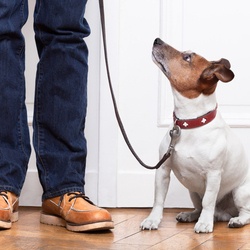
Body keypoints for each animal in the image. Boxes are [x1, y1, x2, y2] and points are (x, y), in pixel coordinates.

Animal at [141, 38, 250, 233]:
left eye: (187, 57)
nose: (157, 40)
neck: (190, 123)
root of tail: (223, 214)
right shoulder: (163, 170)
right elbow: (158, 199)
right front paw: (153, 220)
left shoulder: (213, 175)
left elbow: (208, 201)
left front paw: (205, 223)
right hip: (193, 191)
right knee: (198, 207)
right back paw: (190, 215)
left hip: (240, 192)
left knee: (244, 212)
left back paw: (234, 220)